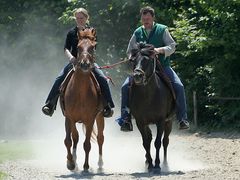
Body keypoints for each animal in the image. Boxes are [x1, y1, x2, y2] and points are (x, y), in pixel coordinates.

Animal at [59, 28, 104, 172]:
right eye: (78, 47)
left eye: (93, 47)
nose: (85, 64)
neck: (80, 93)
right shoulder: (69, 118)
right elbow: (69, 140)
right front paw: (71, 163)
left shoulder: (90, 119)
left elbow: (87, 144)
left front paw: (86, 166)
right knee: (75, 139)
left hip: (100, 116)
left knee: (100, 138)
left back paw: (100, 164)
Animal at [128, 43, 175, 172]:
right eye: (134, 60)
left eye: (147, 60)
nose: (137, 75)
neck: (148, 96)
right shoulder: (140, 122)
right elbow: (146, 143)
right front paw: (150, 164)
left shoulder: (161, 121)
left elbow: (158, 142)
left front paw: (157, 165)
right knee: (149, 138)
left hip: (169, 122)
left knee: (165, 141)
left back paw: (165, 164)